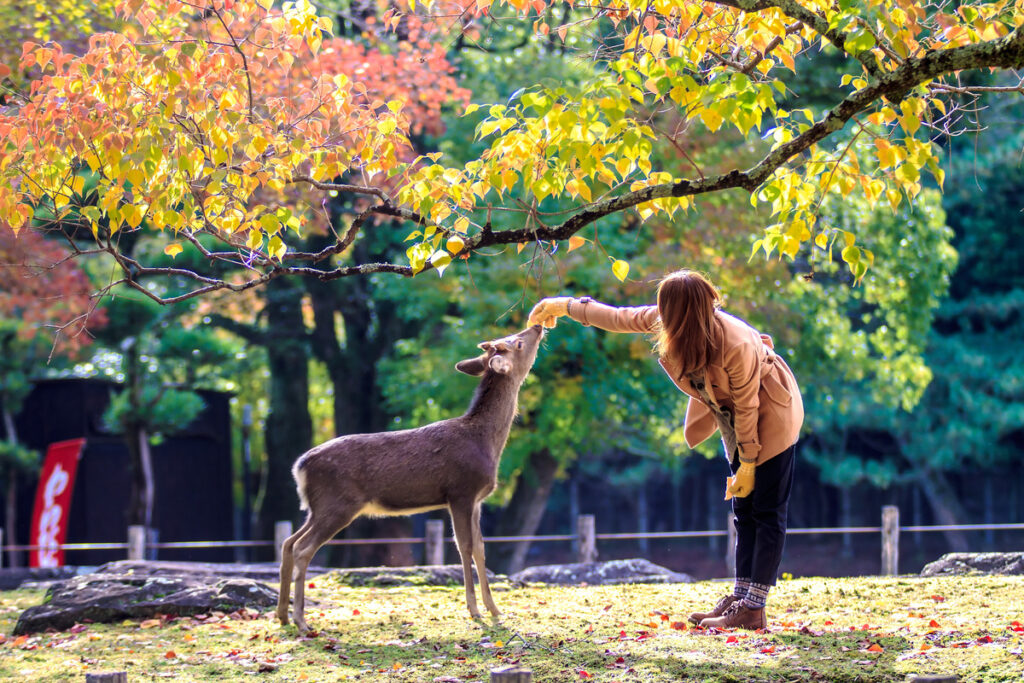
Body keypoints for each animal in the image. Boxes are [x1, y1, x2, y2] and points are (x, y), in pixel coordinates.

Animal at [272, 323, 544, 634]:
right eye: (518, 343)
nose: (537, 326)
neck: (487, 443)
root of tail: (299, 466)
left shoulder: (477, 500)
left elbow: (480, 549)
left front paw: (495, 610)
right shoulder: (460, 491)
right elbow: (464, 548)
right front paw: (474, 611)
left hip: (318, 507)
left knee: (288, 543)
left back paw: (282, 615)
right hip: (338, 503)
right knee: (303, 549)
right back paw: (301, 620)